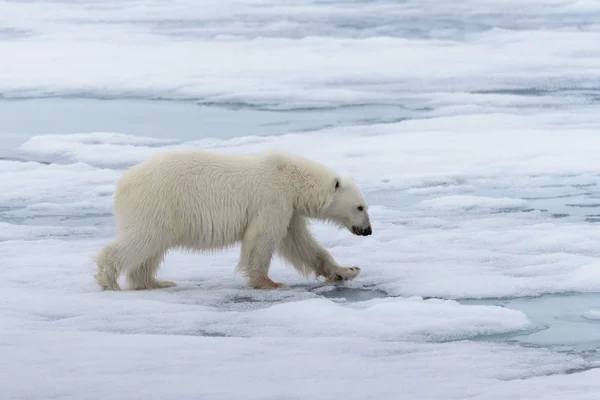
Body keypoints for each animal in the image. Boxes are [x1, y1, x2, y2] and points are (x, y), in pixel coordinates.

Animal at [94, 150, 372, 290]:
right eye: (360, 206)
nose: (368, 230)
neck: (289, 175)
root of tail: (123, 182)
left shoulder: (290, 208)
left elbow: (300, 244)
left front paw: (347, 271)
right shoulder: (272, 199)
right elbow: (262, 239)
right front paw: (269, 282)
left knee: (150, 250)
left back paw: (154, 282)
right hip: (157, 203)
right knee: (141, 240)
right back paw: (109, 279)